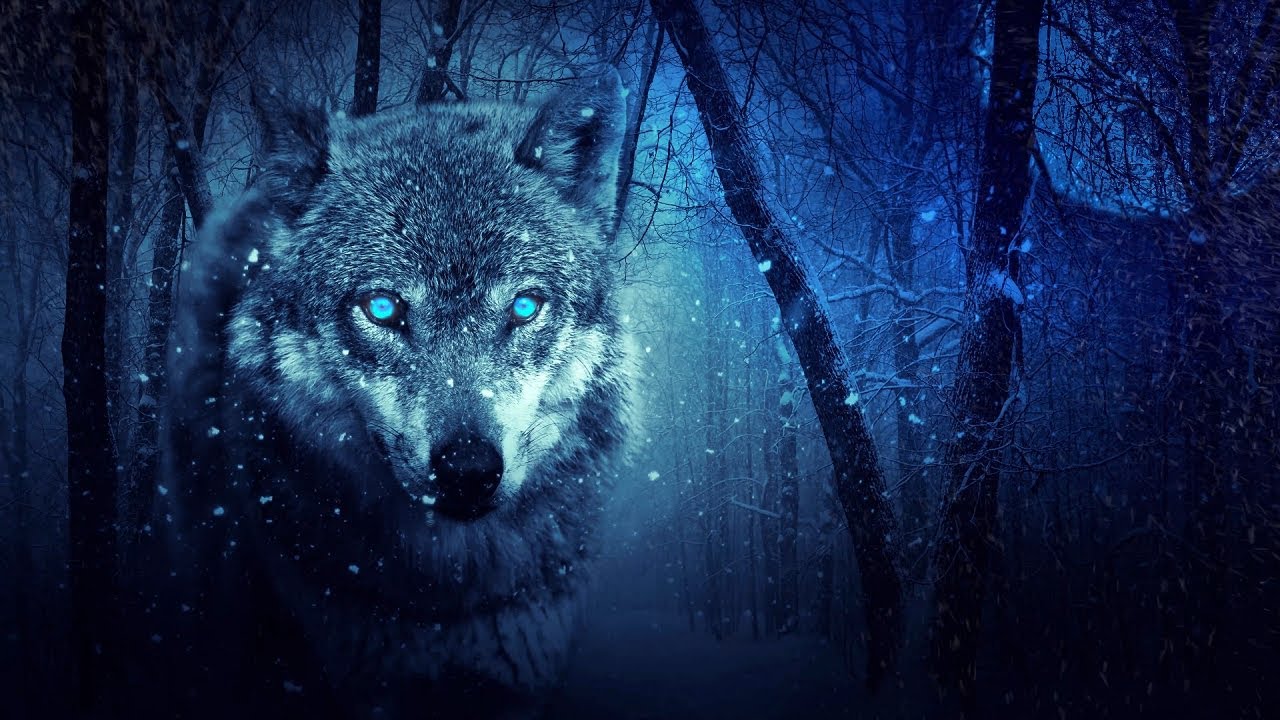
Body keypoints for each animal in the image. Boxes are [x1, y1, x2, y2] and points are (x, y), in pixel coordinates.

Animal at [151, 69, 635, 719]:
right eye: (382, 308)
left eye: (524, 307)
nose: (467, 470)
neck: (448, 597)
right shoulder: (360, 686)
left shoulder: (520, 685)